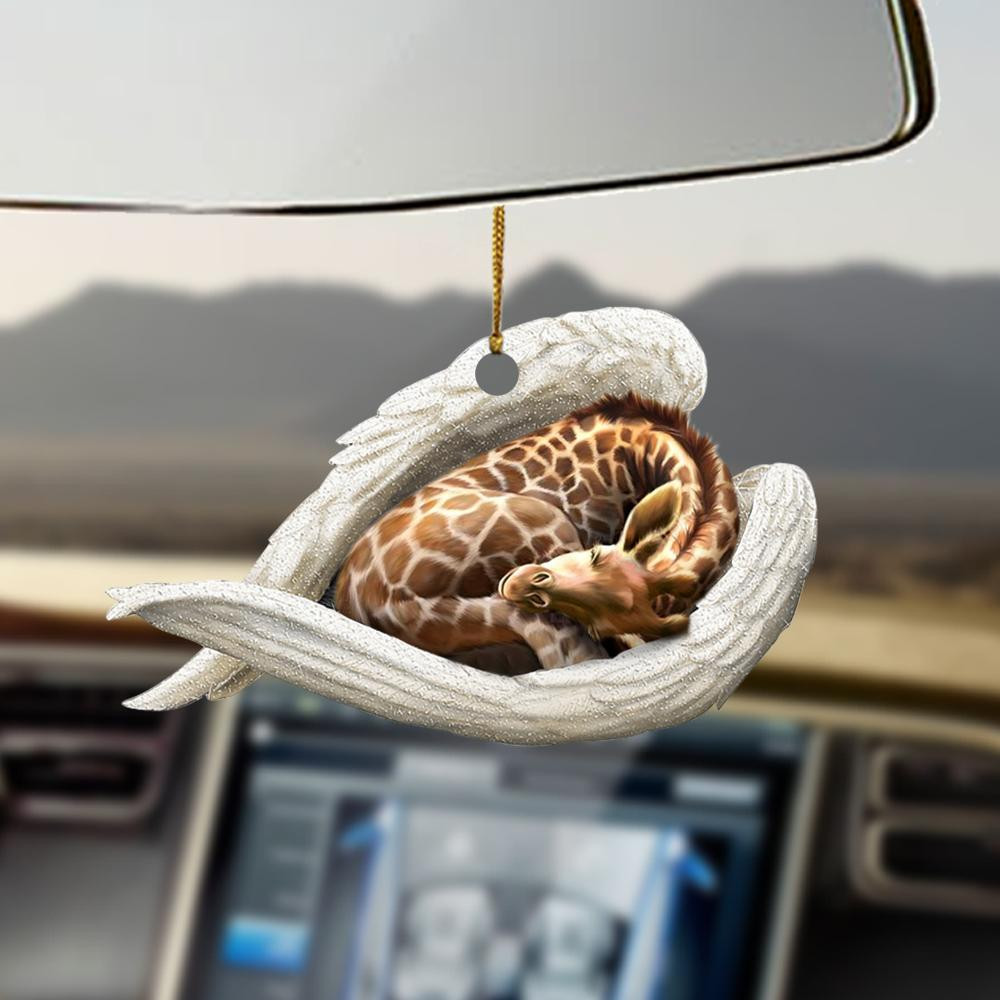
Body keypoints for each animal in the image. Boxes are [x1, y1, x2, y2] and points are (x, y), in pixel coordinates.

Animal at [330, 392, 739, 672]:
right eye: (596, 553)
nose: (523, 586)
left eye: (599, 625)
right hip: (544, 523)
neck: (634, 457)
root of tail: (361, 602)